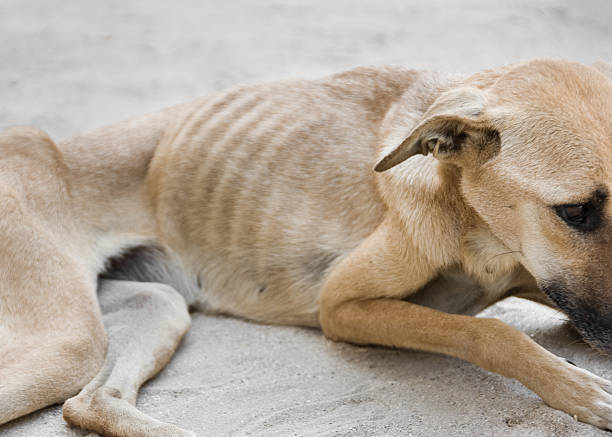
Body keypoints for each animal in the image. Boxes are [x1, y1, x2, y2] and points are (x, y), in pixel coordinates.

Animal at [0, 58, 608, 436]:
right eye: (575, 212)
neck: (475, 223)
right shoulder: (341, 306)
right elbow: (489, 333)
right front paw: (581, 390)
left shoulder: (552, 286)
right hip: (71, 342)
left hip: (157, 306)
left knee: (91, 403)